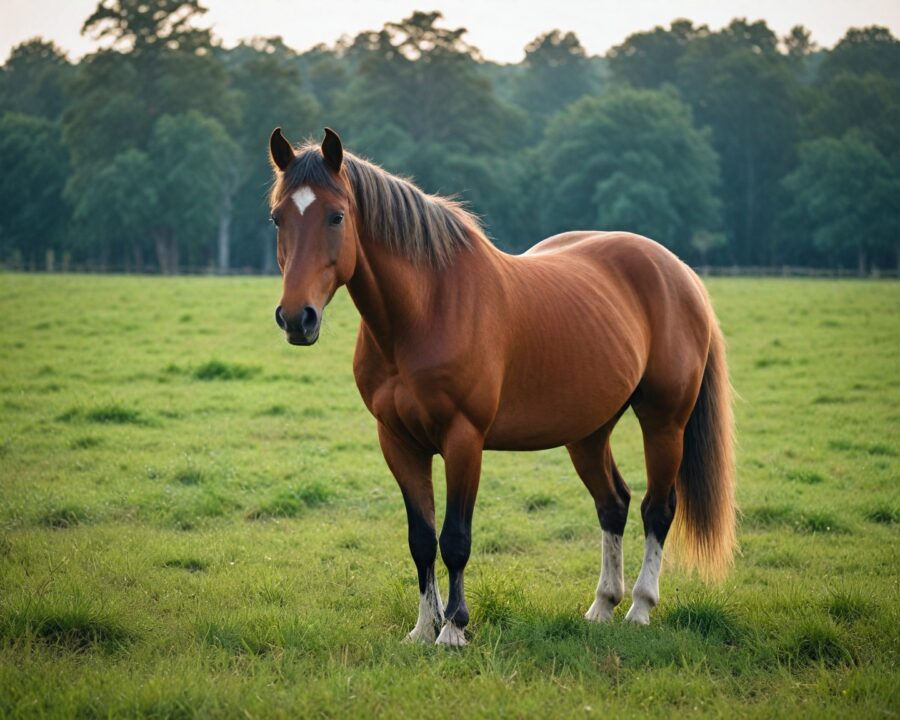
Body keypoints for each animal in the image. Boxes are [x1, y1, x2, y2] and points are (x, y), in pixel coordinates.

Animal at [267, 127, 736, 646]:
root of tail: (678, 270)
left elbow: (454, 539)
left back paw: (639, 607)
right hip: (589, 432)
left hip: (664, 422)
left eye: (336, 215)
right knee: (613, 504)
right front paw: (422, 629)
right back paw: (601, 606)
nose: (297, 318)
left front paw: (453, 629)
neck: (425, 311)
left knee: (658, 508)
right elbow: (420, 539)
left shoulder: (463, 439)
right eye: (277, 217)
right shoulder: (399, 442)